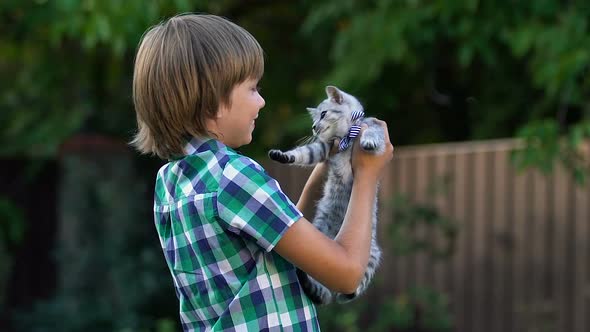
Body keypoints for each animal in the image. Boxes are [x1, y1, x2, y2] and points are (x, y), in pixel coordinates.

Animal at [270, 85, 388, 304]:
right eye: (314, 119)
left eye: (323, 114)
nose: (313, 127)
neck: (345, 137)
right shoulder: (324, 148)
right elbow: (305, 152)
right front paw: (284, 155)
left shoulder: (373, 125)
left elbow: (373, 129)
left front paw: (368, 141)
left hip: (372, 255)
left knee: (353, 286)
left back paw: (347, 293)